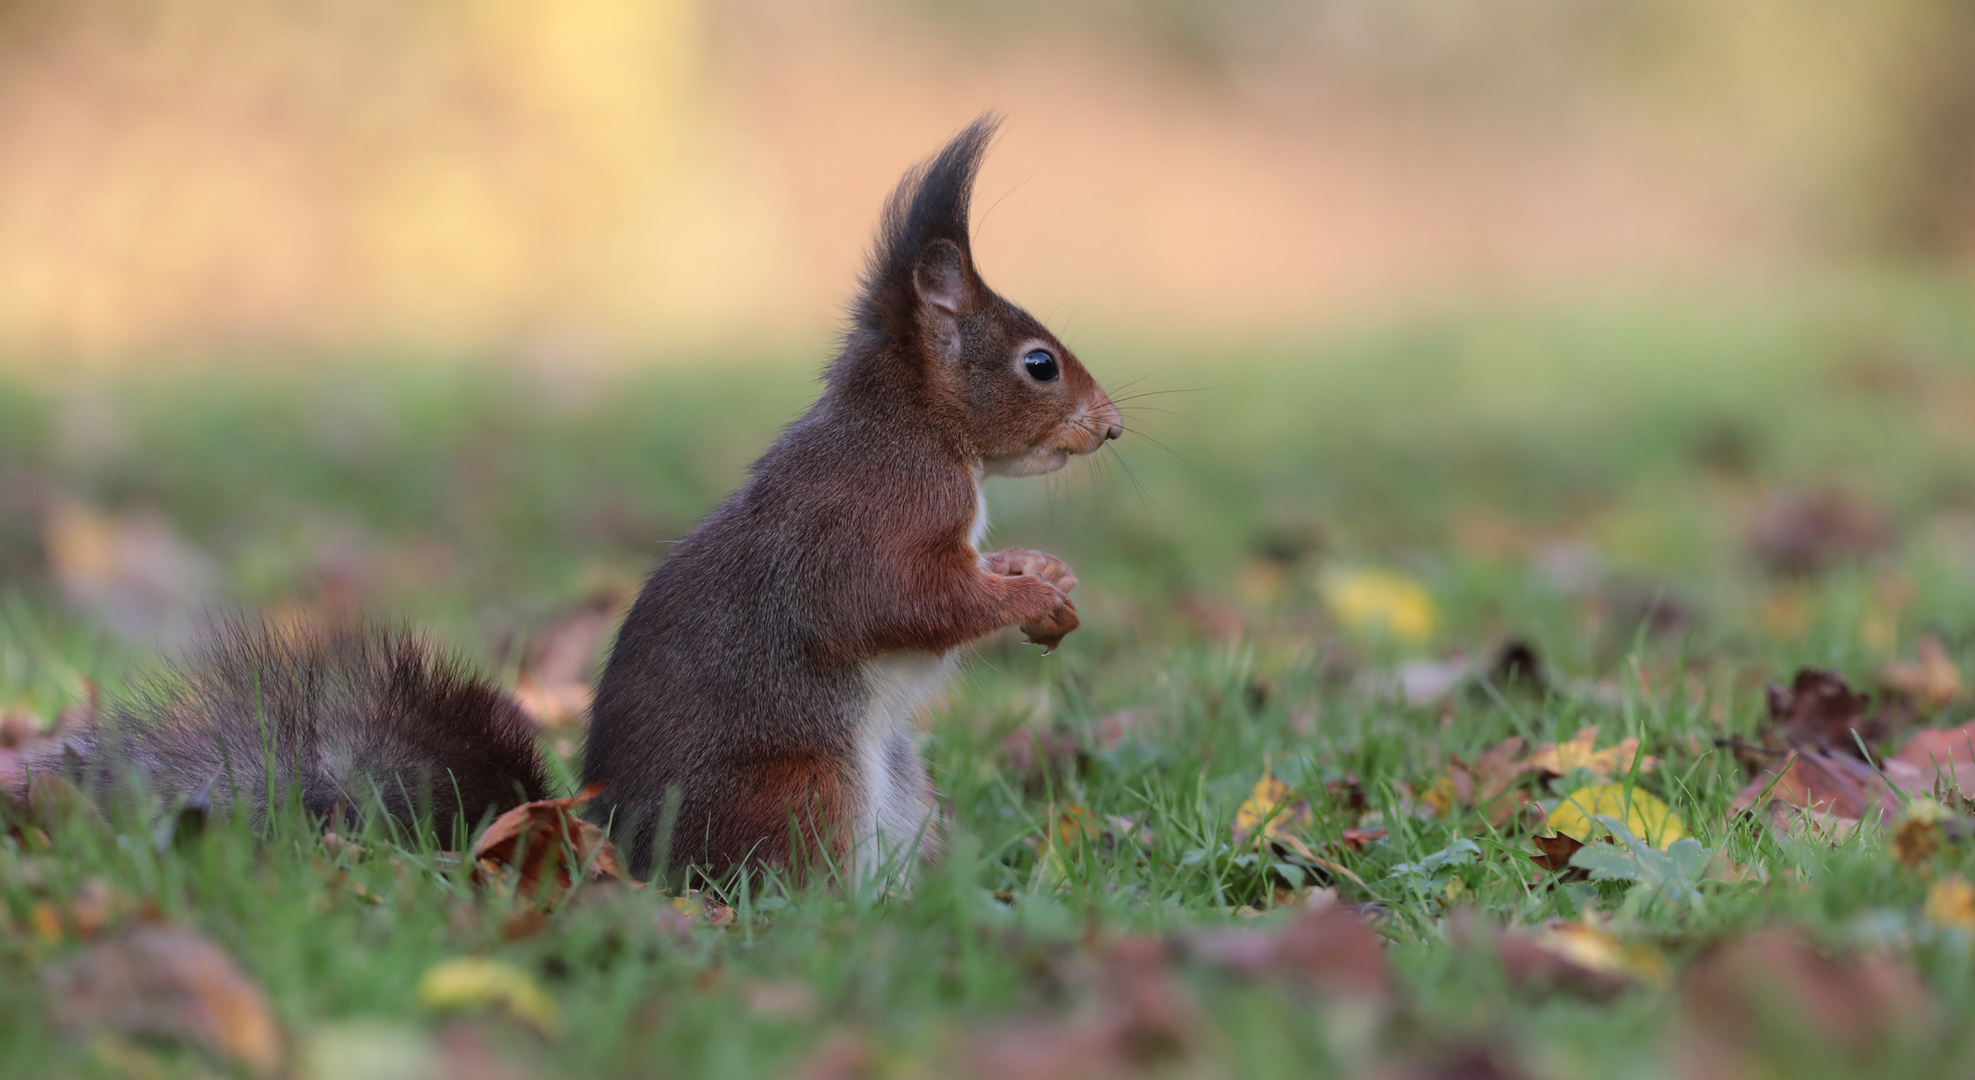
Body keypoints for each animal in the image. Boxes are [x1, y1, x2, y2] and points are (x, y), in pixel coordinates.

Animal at [15, 114, 1121, 884]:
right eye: (1037, 364)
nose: (1111, 428)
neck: (916, 427)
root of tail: (613, 853)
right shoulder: (872, 516)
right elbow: (902, 601)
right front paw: (1028, 596)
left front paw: (1044, 573)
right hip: (801, 791)